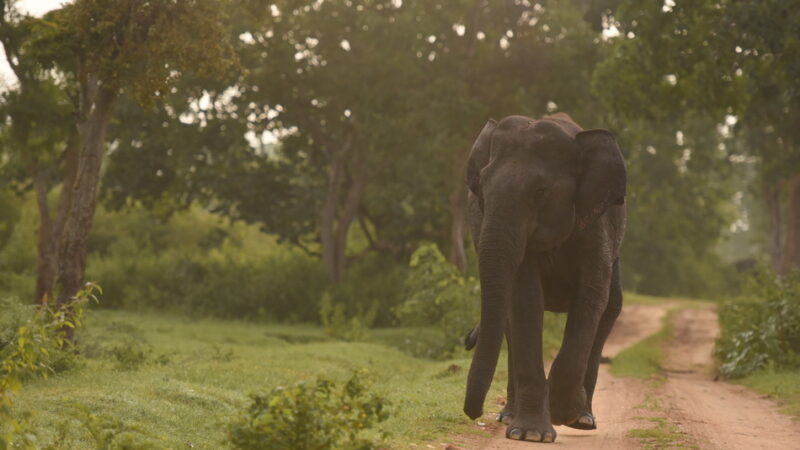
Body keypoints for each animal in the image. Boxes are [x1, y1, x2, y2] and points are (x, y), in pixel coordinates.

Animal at [462, 112, 624, 442]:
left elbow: (591, 296)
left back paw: (583, 419)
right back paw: (509, 416)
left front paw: (565, 413)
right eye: (481, 189)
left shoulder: (596, 224)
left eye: (540, 193)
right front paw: (530, 435)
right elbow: (525, 299)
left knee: (610, 307)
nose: (474, 413)